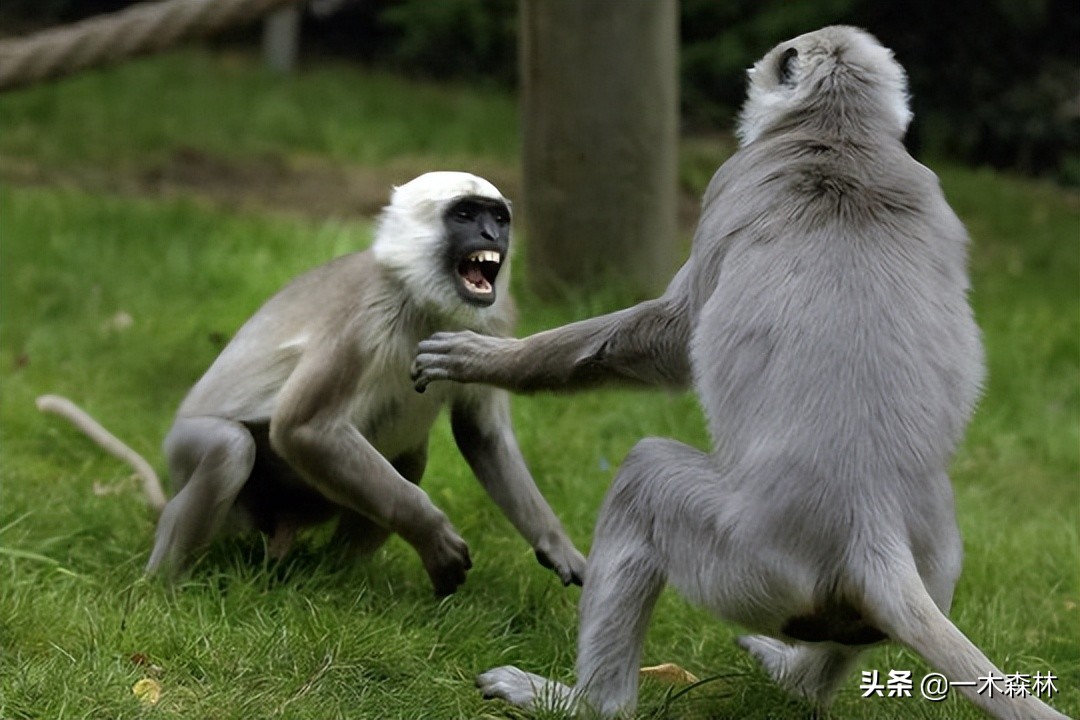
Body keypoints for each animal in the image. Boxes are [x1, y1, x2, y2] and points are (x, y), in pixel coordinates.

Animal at [42, 170, 587, 595]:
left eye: (498, 218)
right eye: (466, 214)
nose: (492, 235)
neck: (424, 301)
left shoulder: (494, 323)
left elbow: (482, 435)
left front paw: (557, 545)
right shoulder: (364, 318)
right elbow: (301, 428)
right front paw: (434, 534)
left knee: (407, 458)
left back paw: (333, 578)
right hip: (191, 459)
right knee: (228, 448)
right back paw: (164, 588)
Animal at [412, 25, 1071, 716]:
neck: (841, 133)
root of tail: (873, 524)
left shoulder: (731, 179)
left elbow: (674, 339)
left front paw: (486, 360)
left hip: (745, 560)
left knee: (643, 476)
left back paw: (583, 702)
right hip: (925, 564)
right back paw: (796, 680)